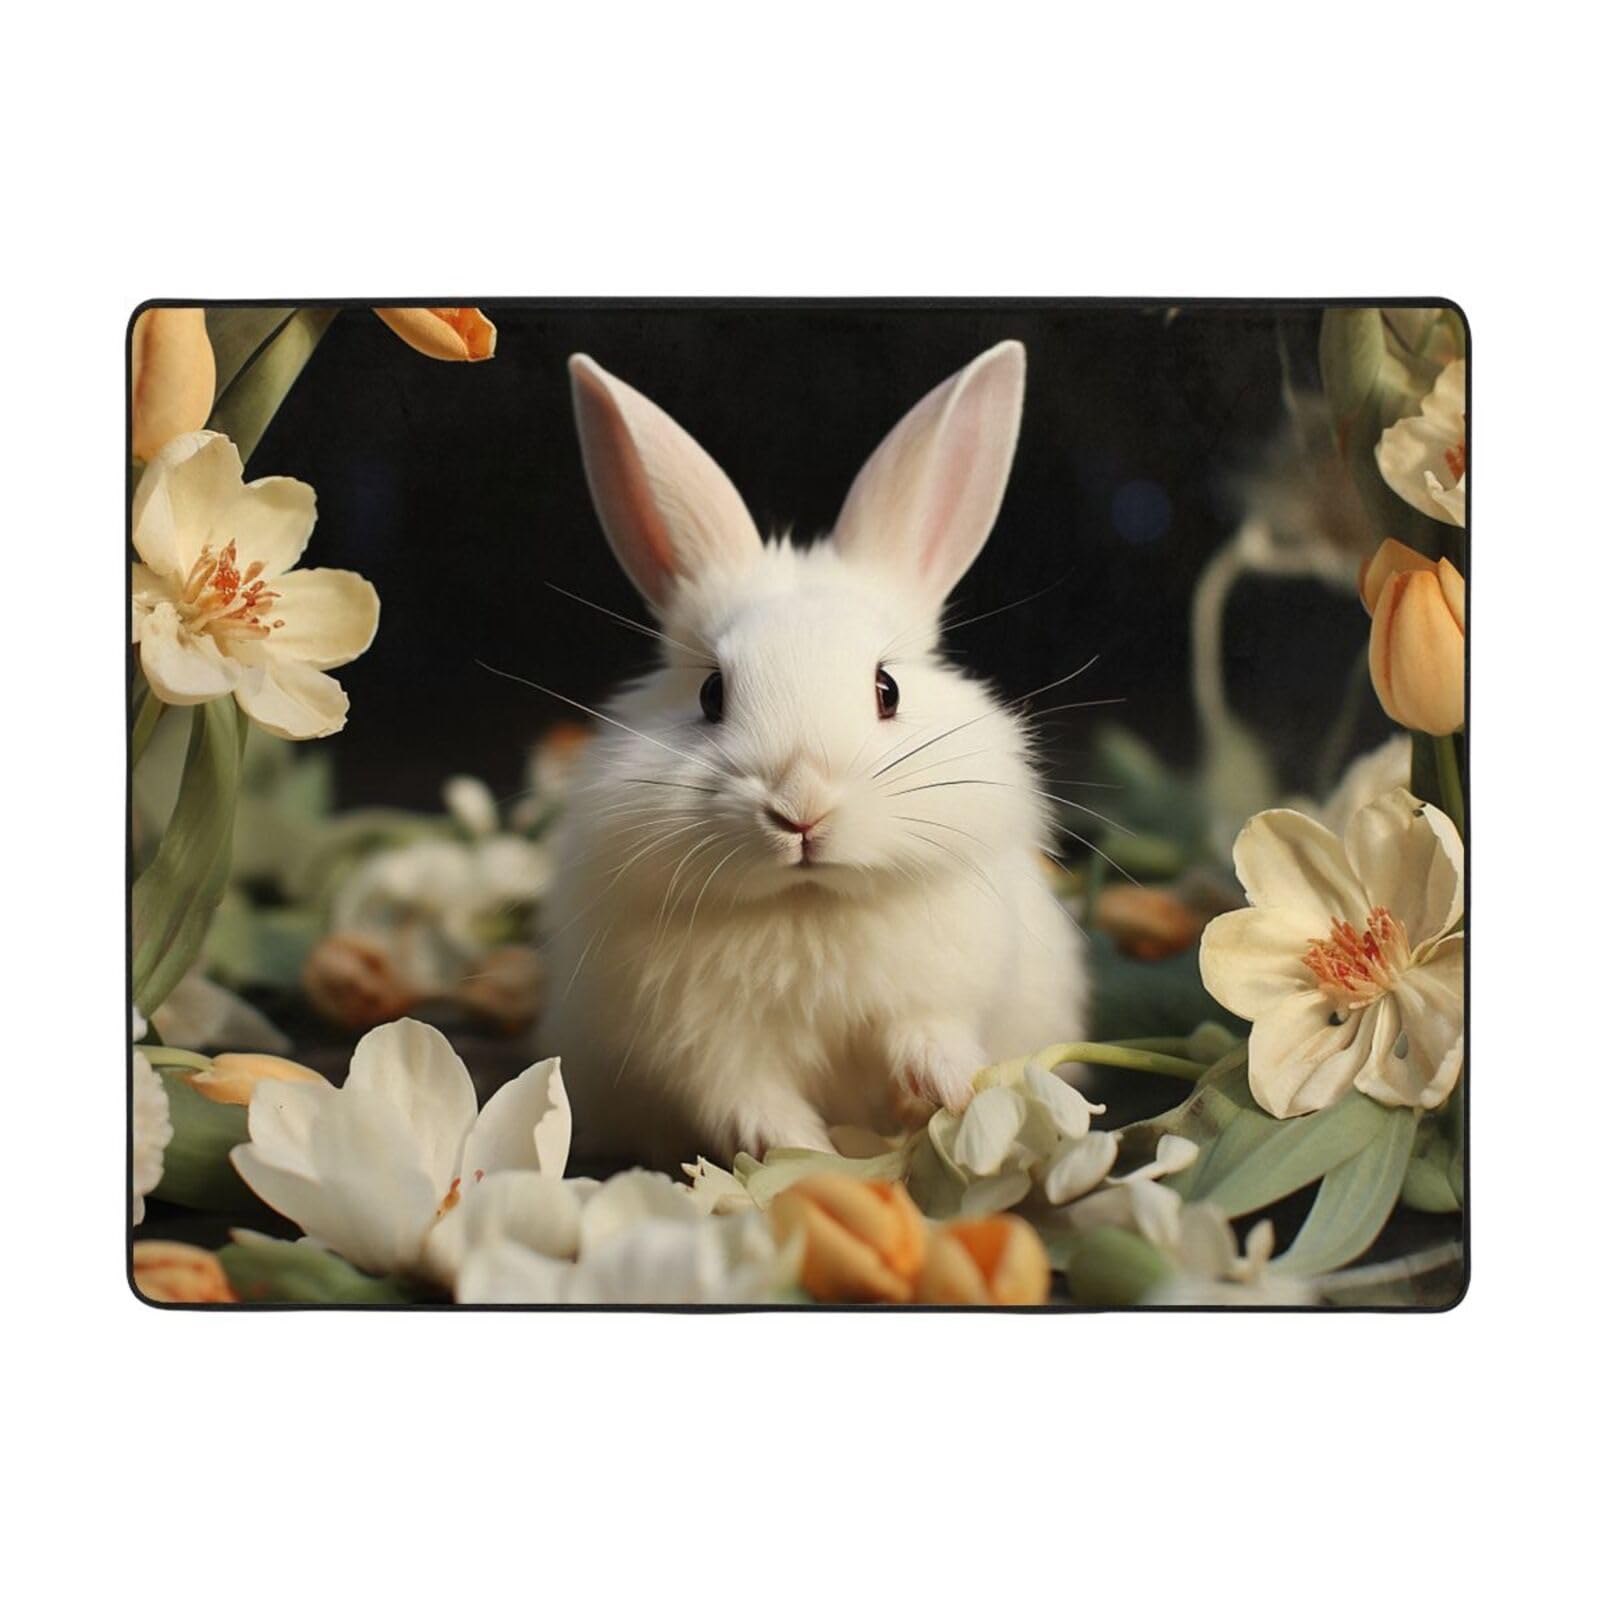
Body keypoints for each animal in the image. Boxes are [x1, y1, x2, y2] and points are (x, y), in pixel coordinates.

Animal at [538, 340, 1088, 1167]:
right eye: (711, 694)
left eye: (887, 688)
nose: (801, 809)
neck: (809, 903)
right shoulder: (697, 1045)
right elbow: (746, 1096)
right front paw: (806, 1154)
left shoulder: (941, 989)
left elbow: (929, 1030)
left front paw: (951, 1089)